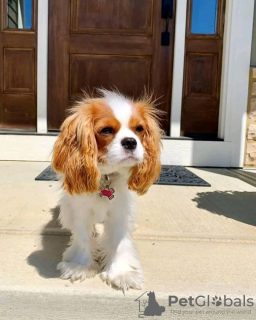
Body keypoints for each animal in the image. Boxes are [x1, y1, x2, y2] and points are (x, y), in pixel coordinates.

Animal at [52, 89, 162, 292]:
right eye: (106, 130)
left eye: (139, 129)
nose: (130, 142)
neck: (106, 177)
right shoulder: (80, 211)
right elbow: (83, 237)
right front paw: (80, 265)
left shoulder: (119, 211)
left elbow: (118, 241)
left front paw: (121, 272)